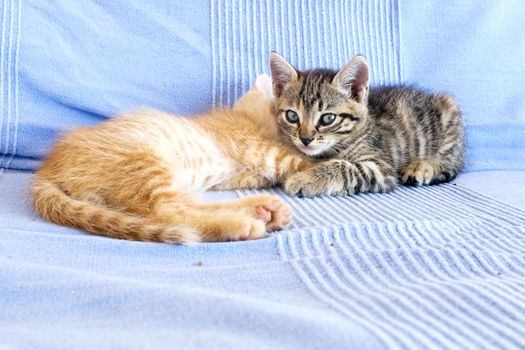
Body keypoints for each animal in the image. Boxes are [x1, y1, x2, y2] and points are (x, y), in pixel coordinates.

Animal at [31, 75, 312, 242]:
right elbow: (287, 159)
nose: (305, 136)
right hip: (144, 163)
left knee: (185, 205)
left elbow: (258, 176)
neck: (245, 116)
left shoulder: (233, 174)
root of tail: (49, 169)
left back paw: (263, 210)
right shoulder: (251, 143)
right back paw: (242, 224)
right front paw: (318, 168)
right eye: (290, 114)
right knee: (168, 211)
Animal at [268, 52, 464, 197]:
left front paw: (304, 179)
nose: (305, 139)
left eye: (327, 118)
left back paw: (421, 167)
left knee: (450, 165)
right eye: (292, 116)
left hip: (450, 114)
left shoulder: (381, 168)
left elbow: (344, 167)